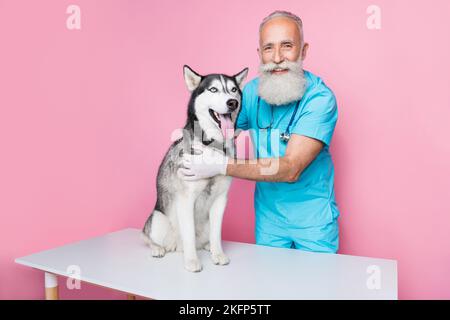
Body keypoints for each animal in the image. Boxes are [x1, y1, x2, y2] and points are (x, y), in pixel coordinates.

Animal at [143, 65, 250, 272]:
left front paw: (218, 254)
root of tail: (174, 247)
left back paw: (208, 246)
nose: (232, 102)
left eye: (233, 90)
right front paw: (192, 261)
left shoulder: (220, 200)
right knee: (147, 236)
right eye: (213, 89)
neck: (213, 145)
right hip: (159, 219)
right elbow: (189, 234)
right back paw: (158, 248)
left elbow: (217, 234)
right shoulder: (186, 199)